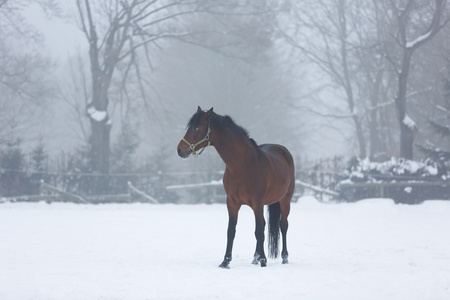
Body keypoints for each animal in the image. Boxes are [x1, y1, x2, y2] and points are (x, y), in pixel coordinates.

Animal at [176, 106, 296, 268]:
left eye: (196, 128)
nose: (180, 150)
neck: (242, 165)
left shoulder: (257, 203)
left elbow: (259, 231)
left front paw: (263, 261)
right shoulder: (232, 203)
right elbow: (231, 231)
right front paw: (225, 261)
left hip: (285, 200)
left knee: (283, 226)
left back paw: (284, 258)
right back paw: (255, 258)